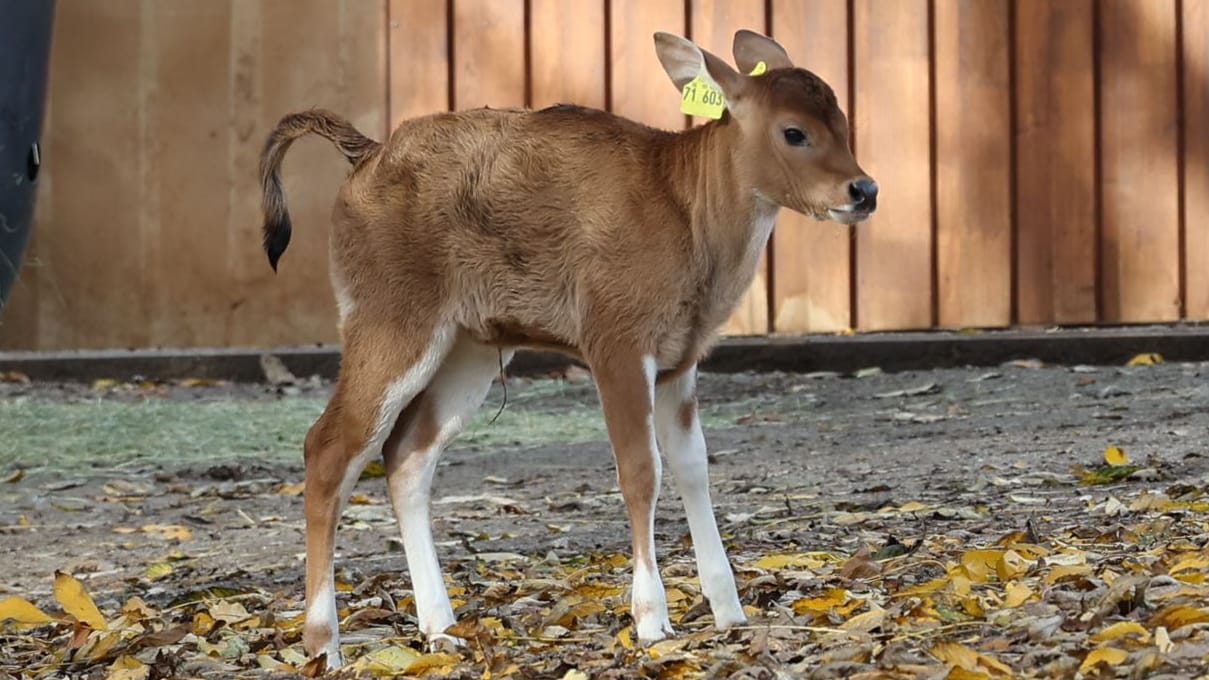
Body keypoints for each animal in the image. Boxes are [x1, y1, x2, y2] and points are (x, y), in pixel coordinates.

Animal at [259, 29, 875, 663]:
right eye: (794, 131)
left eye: (842, 122)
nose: (864, 190)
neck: (685, 209)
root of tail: (366, 155)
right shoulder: (615, 342)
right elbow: (641, 469)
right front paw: (651, 621)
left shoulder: (680, 359)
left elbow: (693, 466)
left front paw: (730, 612)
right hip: (389, 319)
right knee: (329, 448)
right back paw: (324, 647)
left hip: (468, 346)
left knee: (406, 453)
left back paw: (441, 627)